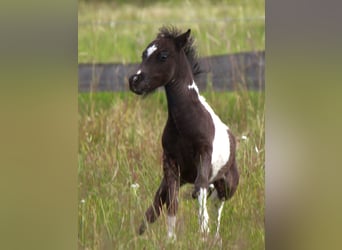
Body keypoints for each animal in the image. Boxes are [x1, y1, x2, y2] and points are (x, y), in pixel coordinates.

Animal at [127, 26, 238, 240]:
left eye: (163, 56)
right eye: (144, 54)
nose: (134, 81)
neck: (185, 125)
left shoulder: (204, 155)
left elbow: (200, 189)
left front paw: (203, 231)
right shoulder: (170, 164)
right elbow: (172, 201)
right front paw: (171, 238)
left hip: (227, 185)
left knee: (217, 205)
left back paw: (215, 237)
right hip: (180, 179)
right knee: (156, 205)